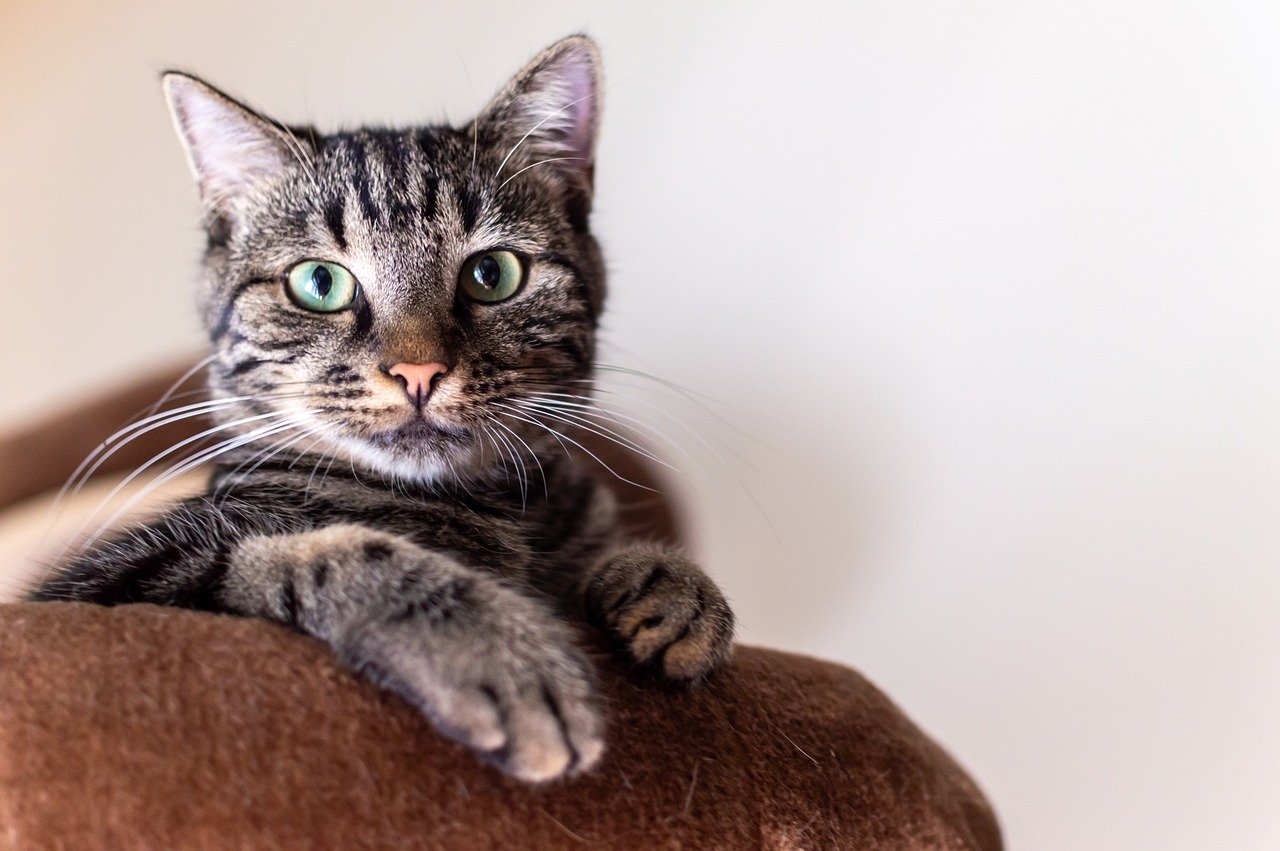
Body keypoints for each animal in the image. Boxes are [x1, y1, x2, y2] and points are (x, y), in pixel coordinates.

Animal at [27, 38, 732, 783]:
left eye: (493, 274)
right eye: (319, 283)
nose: (418, 371)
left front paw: (669, 584)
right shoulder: (114, 580)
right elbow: (329, 552)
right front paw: (495, 649)